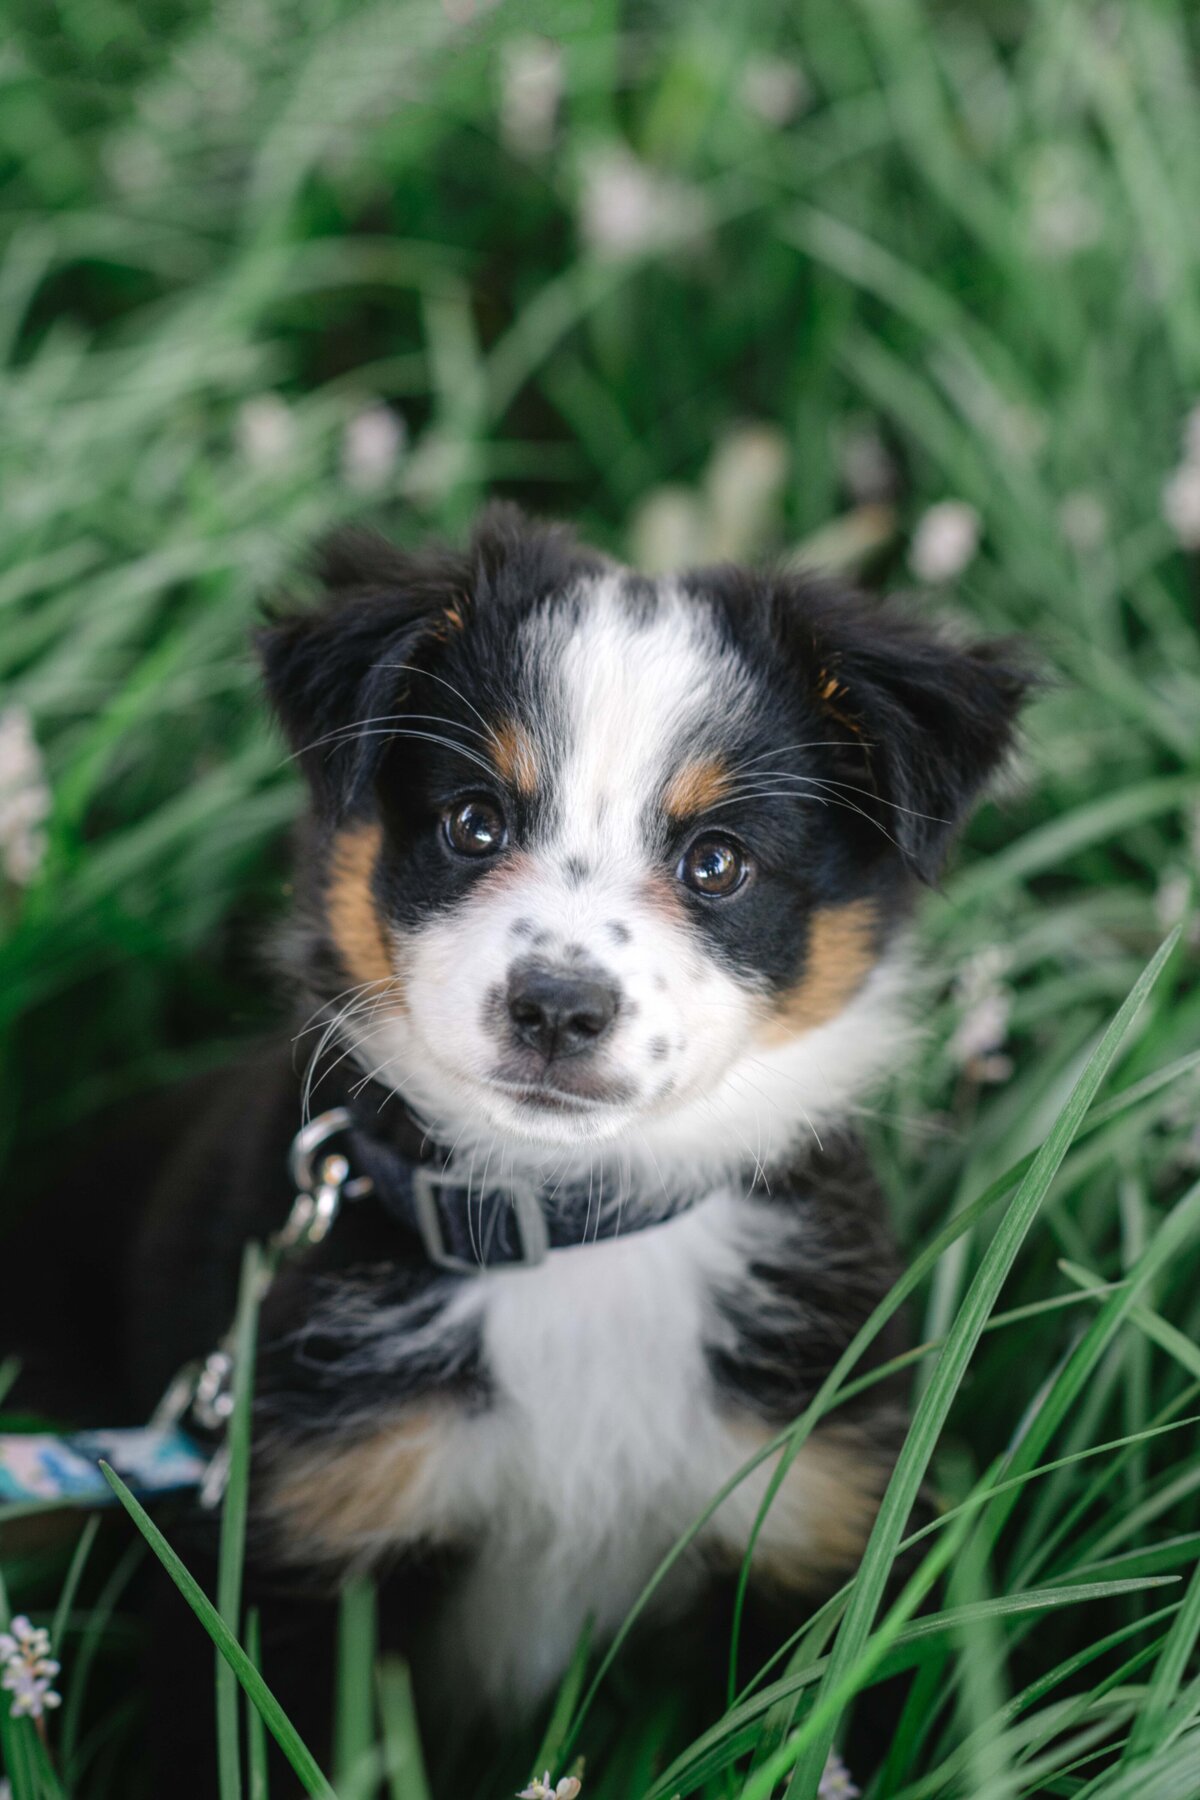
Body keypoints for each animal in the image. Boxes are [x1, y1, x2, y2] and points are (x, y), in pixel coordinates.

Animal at [131, 511, 1036, 1771]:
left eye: (718, 861)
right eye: (474, 822)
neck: (576, 1232)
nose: (557, 1009)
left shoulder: (807, 1512)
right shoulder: (297, 1552)